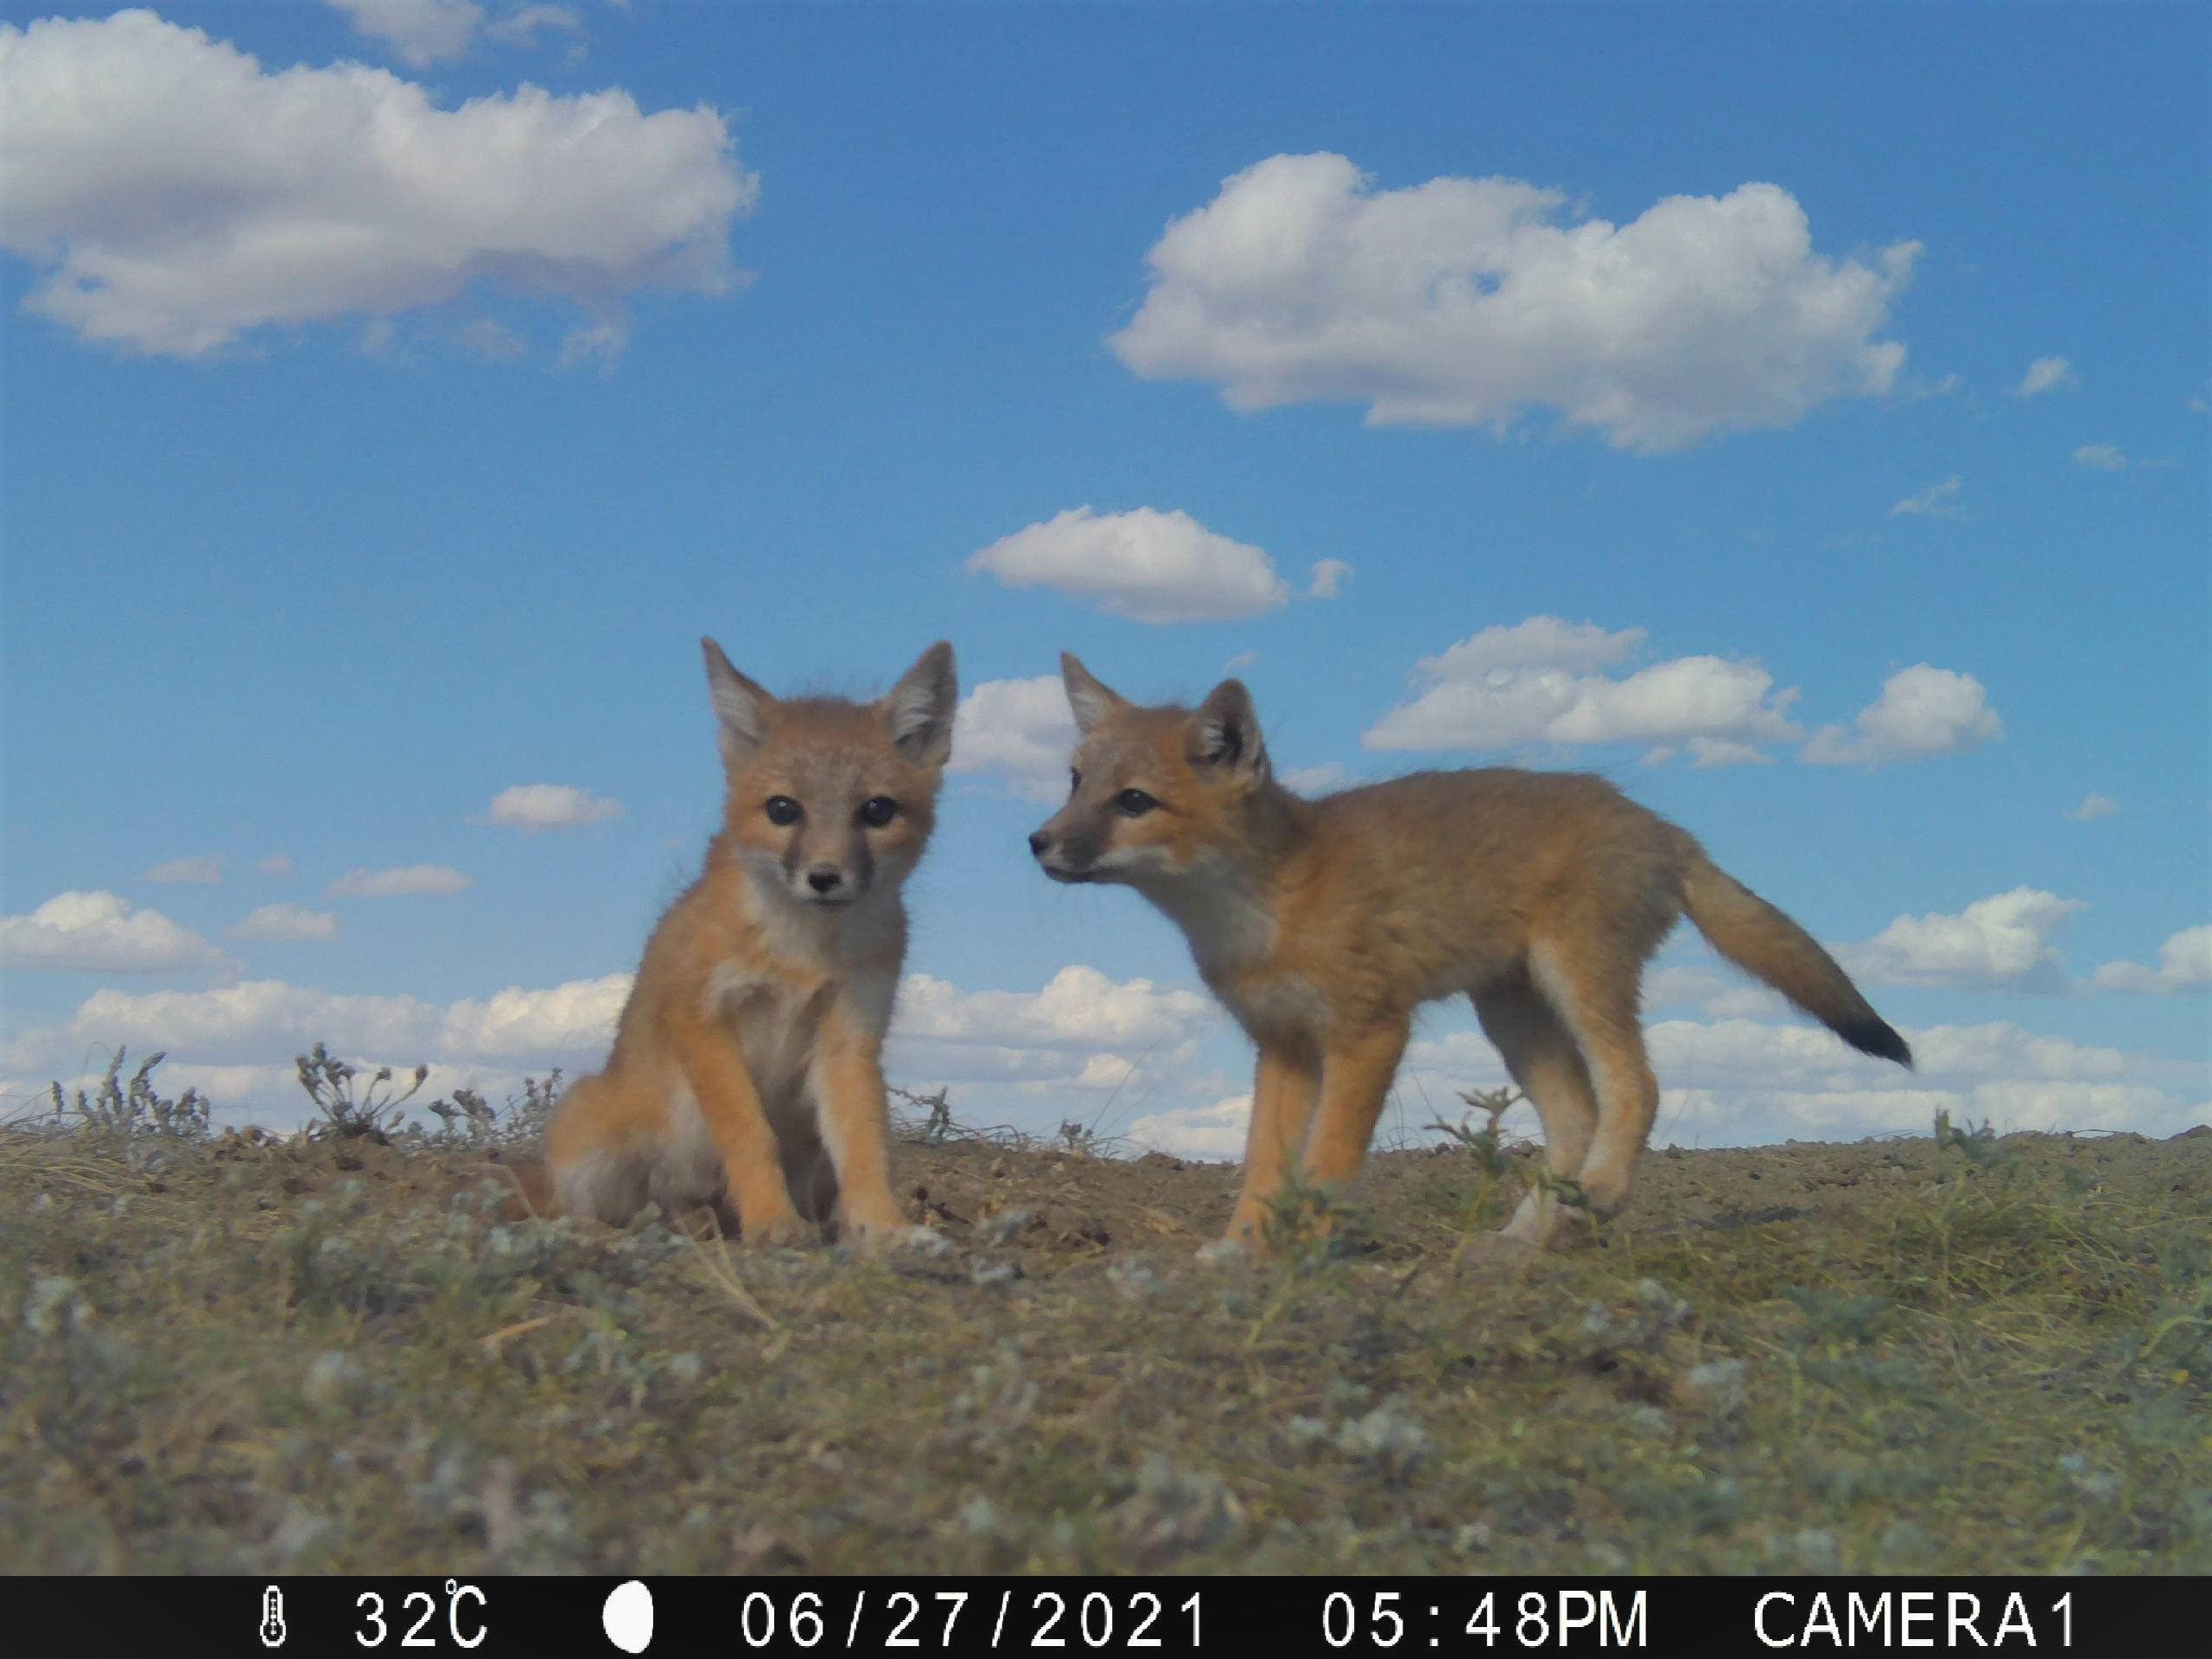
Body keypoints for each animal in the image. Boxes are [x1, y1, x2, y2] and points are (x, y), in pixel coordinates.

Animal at [525, 638, 957, 1253]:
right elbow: (751, 1134)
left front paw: (885, 1228)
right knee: (570, 1213)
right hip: (590, 1129)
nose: (825, 878)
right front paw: (771, 1219)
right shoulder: (704, 1019)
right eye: (783, 809)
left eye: (877, 810)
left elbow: (865, 1150)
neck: (802, 953)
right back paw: (612, 1234)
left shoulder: (849, 1035)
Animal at [1028, 655, 1914, 1255]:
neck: (1265, 904)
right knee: (1574, 1119)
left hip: (1577, 983)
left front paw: (1303, 1251)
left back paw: (1601, 1193)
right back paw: (1530, 1238)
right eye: (1074, 783)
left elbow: (1327, 1161)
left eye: (1134, 802)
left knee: (1637, 1089)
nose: (1036, 842)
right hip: (1511, 1016)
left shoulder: (1370, 1033)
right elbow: (1263, 1169)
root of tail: (1661, 826)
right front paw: (1244, 1253)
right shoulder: (1282, 1046)